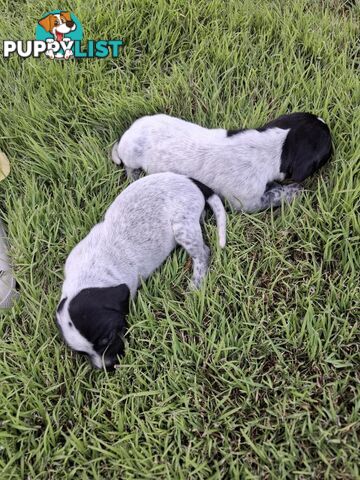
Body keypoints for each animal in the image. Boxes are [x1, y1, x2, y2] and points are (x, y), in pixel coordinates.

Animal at [56, 172, 225, 372]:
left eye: (107, 338)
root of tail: (189, 180)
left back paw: (196, 284)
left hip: (182, 227)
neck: (89, 275)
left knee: (203, 253)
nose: (108, 367)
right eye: (82, 353)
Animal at [112, 113, 332, 213]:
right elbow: (277, 194)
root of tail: (126, 135)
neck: (276, 146)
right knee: (127, 166)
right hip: (132, 157)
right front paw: (295, 191)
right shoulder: (248, 203)